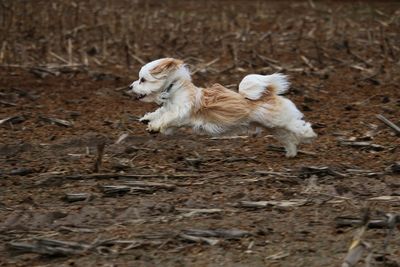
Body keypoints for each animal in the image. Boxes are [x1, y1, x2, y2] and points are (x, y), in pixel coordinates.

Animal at [130, 57, 318, 157]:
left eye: (142, 80)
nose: (131, 86)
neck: (173, 89)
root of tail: (269, 93)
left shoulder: (181, 111)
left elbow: (167, 116)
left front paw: (154, 125)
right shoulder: (171, 114)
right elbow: (160, 112)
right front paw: (147, 119)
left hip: (279, 120)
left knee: (298, 126)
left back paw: (309, 134)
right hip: (274, 127)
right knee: (288, 137)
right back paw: (291, 152)